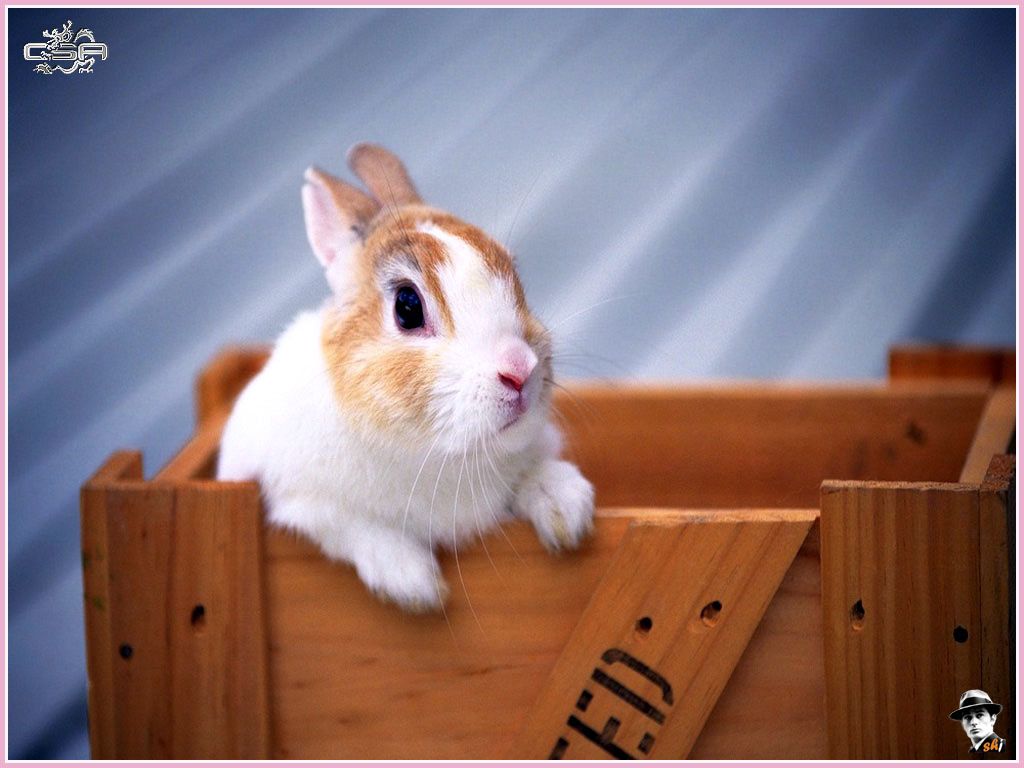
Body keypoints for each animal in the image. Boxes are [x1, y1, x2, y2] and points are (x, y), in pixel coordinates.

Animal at [217, 143, 595, 612]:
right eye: (408, 306)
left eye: (513, 270)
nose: (520, 370)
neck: (440, 456)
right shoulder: (304, 501)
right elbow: (354, 527)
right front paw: (414, 585)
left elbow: (533, 471)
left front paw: (567, 509)